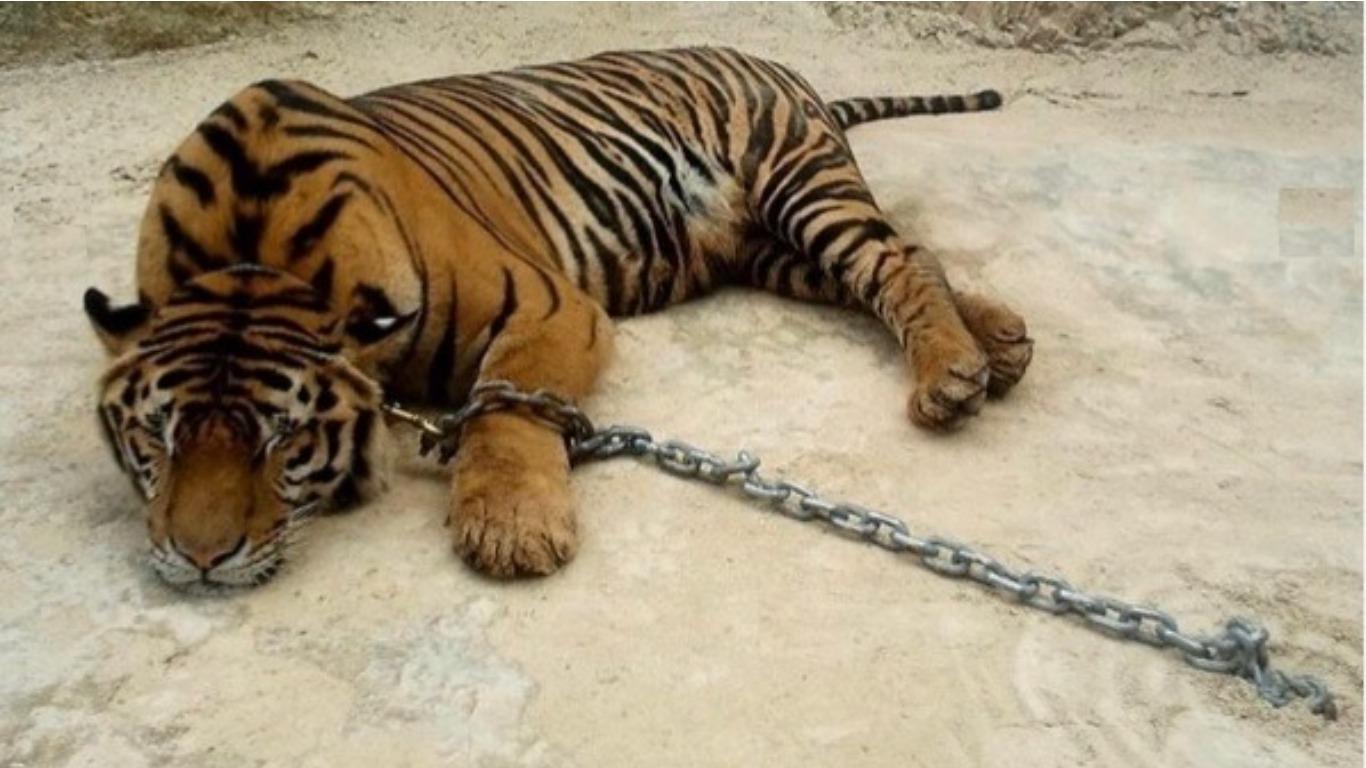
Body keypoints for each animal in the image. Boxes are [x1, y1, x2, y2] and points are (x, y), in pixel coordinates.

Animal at [84, 47, 1033, 587]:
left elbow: (506, 408)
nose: (199, 562)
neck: (253, 252)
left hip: (795, 180)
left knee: (898, 258)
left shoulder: (545, 304)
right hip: (766, 249)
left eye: (280, 442)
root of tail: (776, 64)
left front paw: (510, 527)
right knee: (899, 262)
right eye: (157, 439)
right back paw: (998, 344)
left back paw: (952, 379)